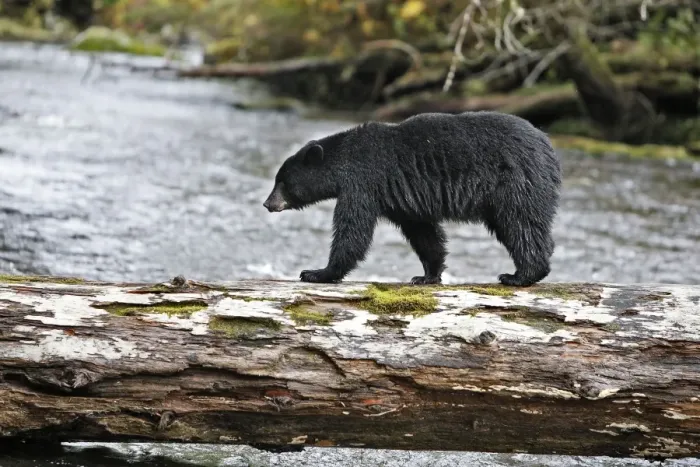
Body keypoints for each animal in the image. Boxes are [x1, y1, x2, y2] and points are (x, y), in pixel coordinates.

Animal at [263, 111, 562, 287]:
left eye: (282, 181)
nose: (267, 203)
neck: (344, 161)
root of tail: (548, 145)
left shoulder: (363, 183)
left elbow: (353, 231)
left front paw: (317, 272)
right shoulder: (402, 198)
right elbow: (423, 233)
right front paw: (427, 275)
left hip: (515, 182)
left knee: (521, 224)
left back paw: (519, 275)